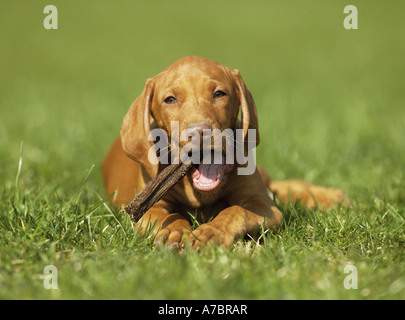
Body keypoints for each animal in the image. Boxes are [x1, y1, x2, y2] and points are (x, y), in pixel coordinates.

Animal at [102, 56, 344, 249]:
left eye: (219, 94)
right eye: (170, 99)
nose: (200, 132)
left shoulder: (264, 205)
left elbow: (236, 211)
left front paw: (212, 232)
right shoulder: (148, 208)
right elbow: (168, 215)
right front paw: (175, 232)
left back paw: (328, 196)